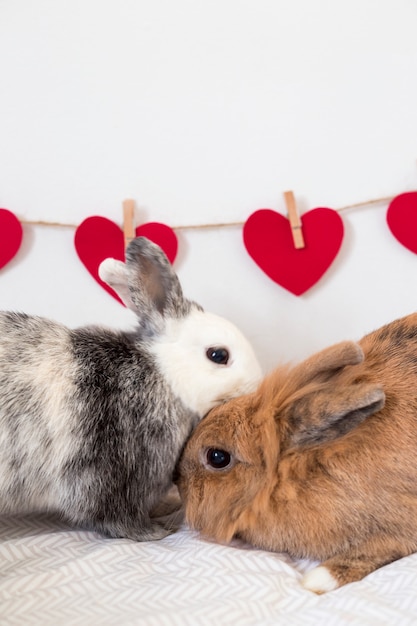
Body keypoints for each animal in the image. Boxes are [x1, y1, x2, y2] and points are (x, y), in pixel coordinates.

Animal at [0, 236, 260, 540]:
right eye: (218, 355)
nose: (256, 385)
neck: (164, 375)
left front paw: (163, 509)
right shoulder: (108, 476)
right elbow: (114, 516)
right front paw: (153, 532)